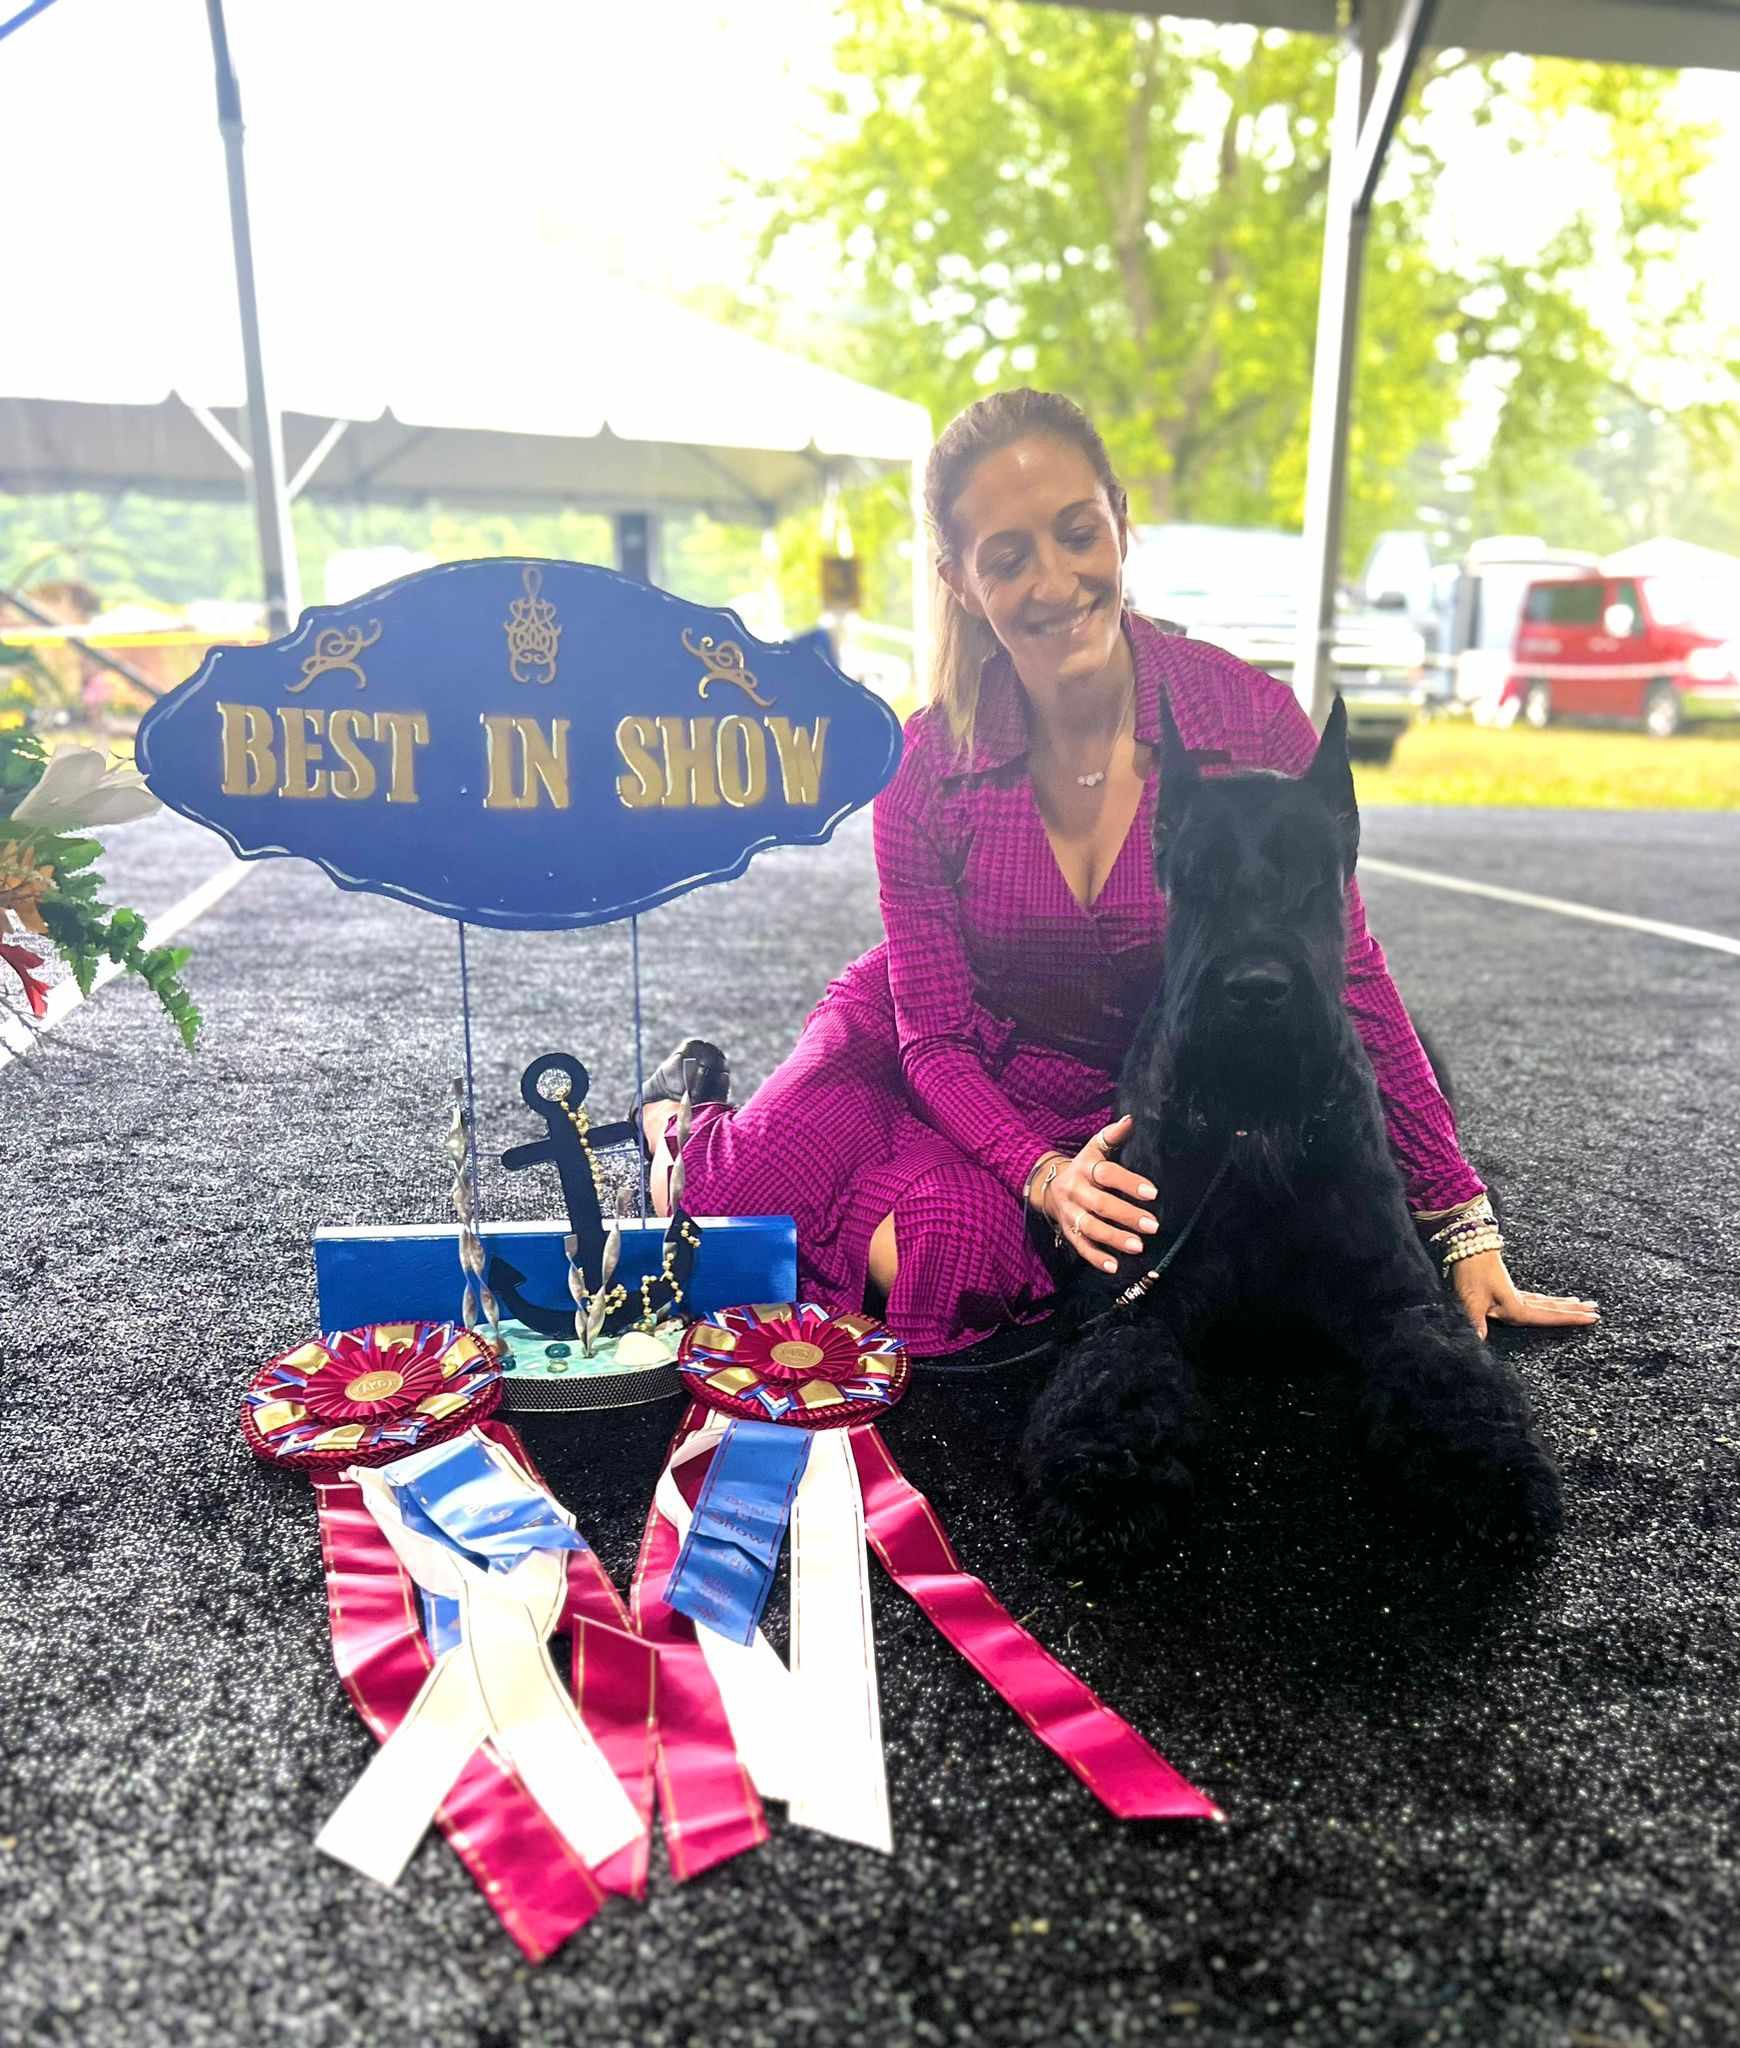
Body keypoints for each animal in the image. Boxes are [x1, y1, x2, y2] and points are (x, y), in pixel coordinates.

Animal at [1020, 696, 1563, 1562]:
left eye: (1313, 873)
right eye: (1195, 878)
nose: (1255, 990)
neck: (1254, 1124)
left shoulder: (1396, 1292)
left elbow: (1453, 1372)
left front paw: (1490, 1468)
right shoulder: (1131, 1294)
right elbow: (1109, 1375)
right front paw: (1104, 1477)